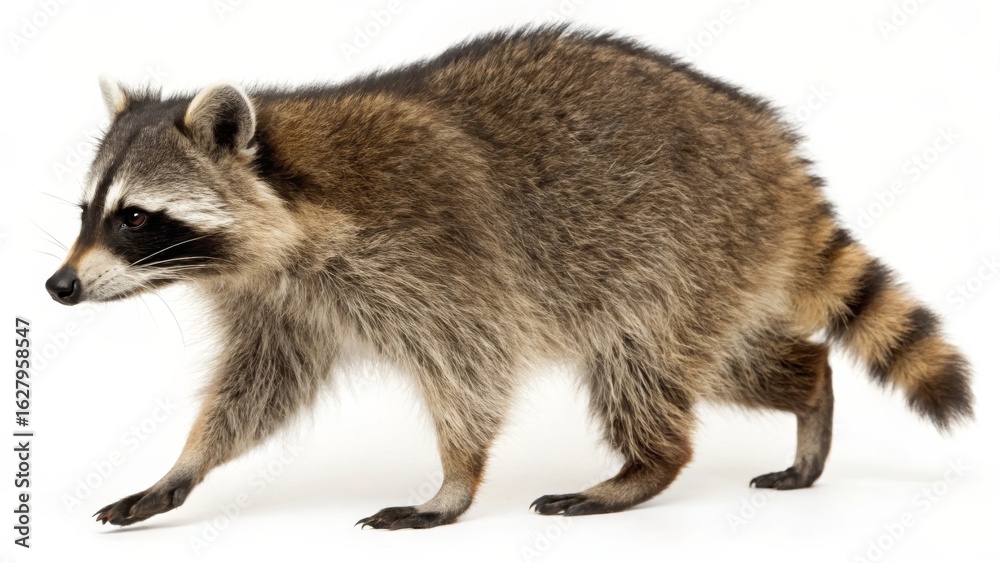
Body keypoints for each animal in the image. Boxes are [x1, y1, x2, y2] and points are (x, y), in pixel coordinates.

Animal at [45, 27, 972, 529]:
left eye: (135, 218)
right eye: (88, 210)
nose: (58, 287)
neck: (288, 211)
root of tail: (779, 158)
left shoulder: (439, 259)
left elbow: (473, 367)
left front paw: (453, 480)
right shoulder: (283, 304)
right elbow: (258, 388)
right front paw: (185, 465)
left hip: (683, 251)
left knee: (642, 362)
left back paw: (645, 466)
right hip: (716, 270)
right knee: (730, 360)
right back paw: (809, 384)